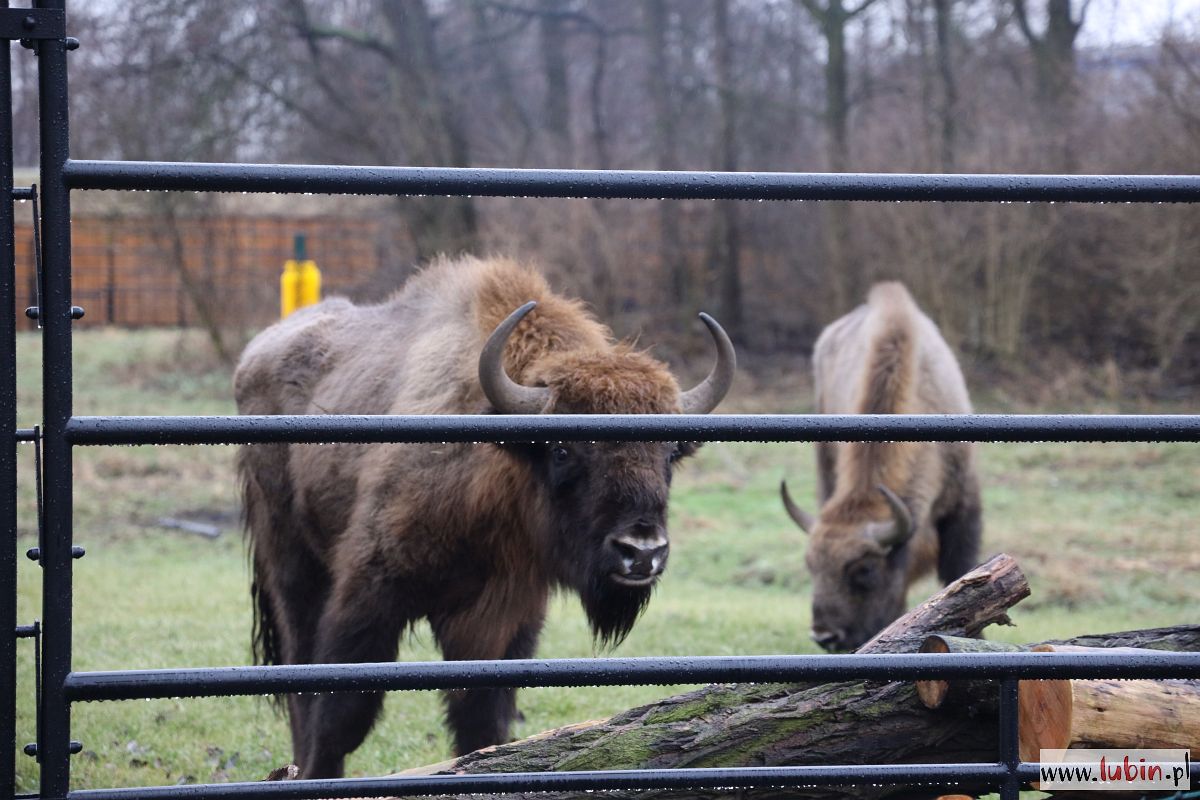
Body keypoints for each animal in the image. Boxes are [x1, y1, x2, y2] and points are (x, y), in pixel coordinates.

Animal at [234, 255, 734, 777]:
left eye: (669, 453)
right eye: (562, 449)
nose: (641, 551)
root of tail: (256, 354)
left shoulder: (506, 617)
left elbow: (482, 724)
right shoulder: (368, 594)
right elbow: (341, 715)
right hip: (291, 564)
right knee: (299, 667)